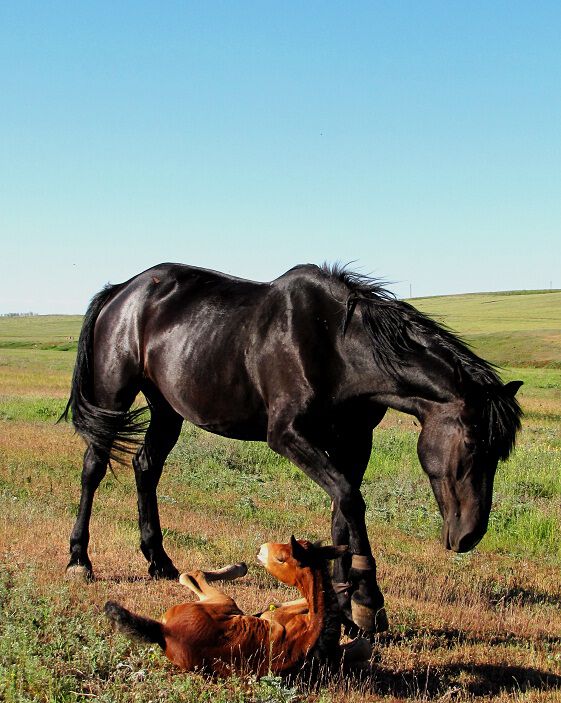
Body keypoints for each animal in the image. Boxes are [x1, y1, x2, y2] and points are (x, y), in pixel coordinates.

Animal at [61, 262, 520, 632]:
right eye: (473, 443)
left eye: (500, 453)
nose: (470, 535)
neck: (336, 345)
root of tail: (122, 290)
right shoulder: (287, 436)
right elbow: (350, 501)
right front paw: (368, 601)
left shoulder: (355, 443)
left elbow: (342, 510)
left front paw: (344, 604)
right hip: (112, 395)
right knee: (93, 468)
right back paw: (79, 560)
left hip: (166, 408)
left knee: (146, 466)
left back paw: (159, 560)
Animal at [105, 540, 370, 676]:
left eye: (282, 557)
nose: (261, 549)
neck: (313, 633)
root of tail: (164, 631)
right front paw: (344, 591)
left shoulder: (274, 614)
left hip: (224, 602)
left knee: (192, 574)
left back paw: (236, 568)